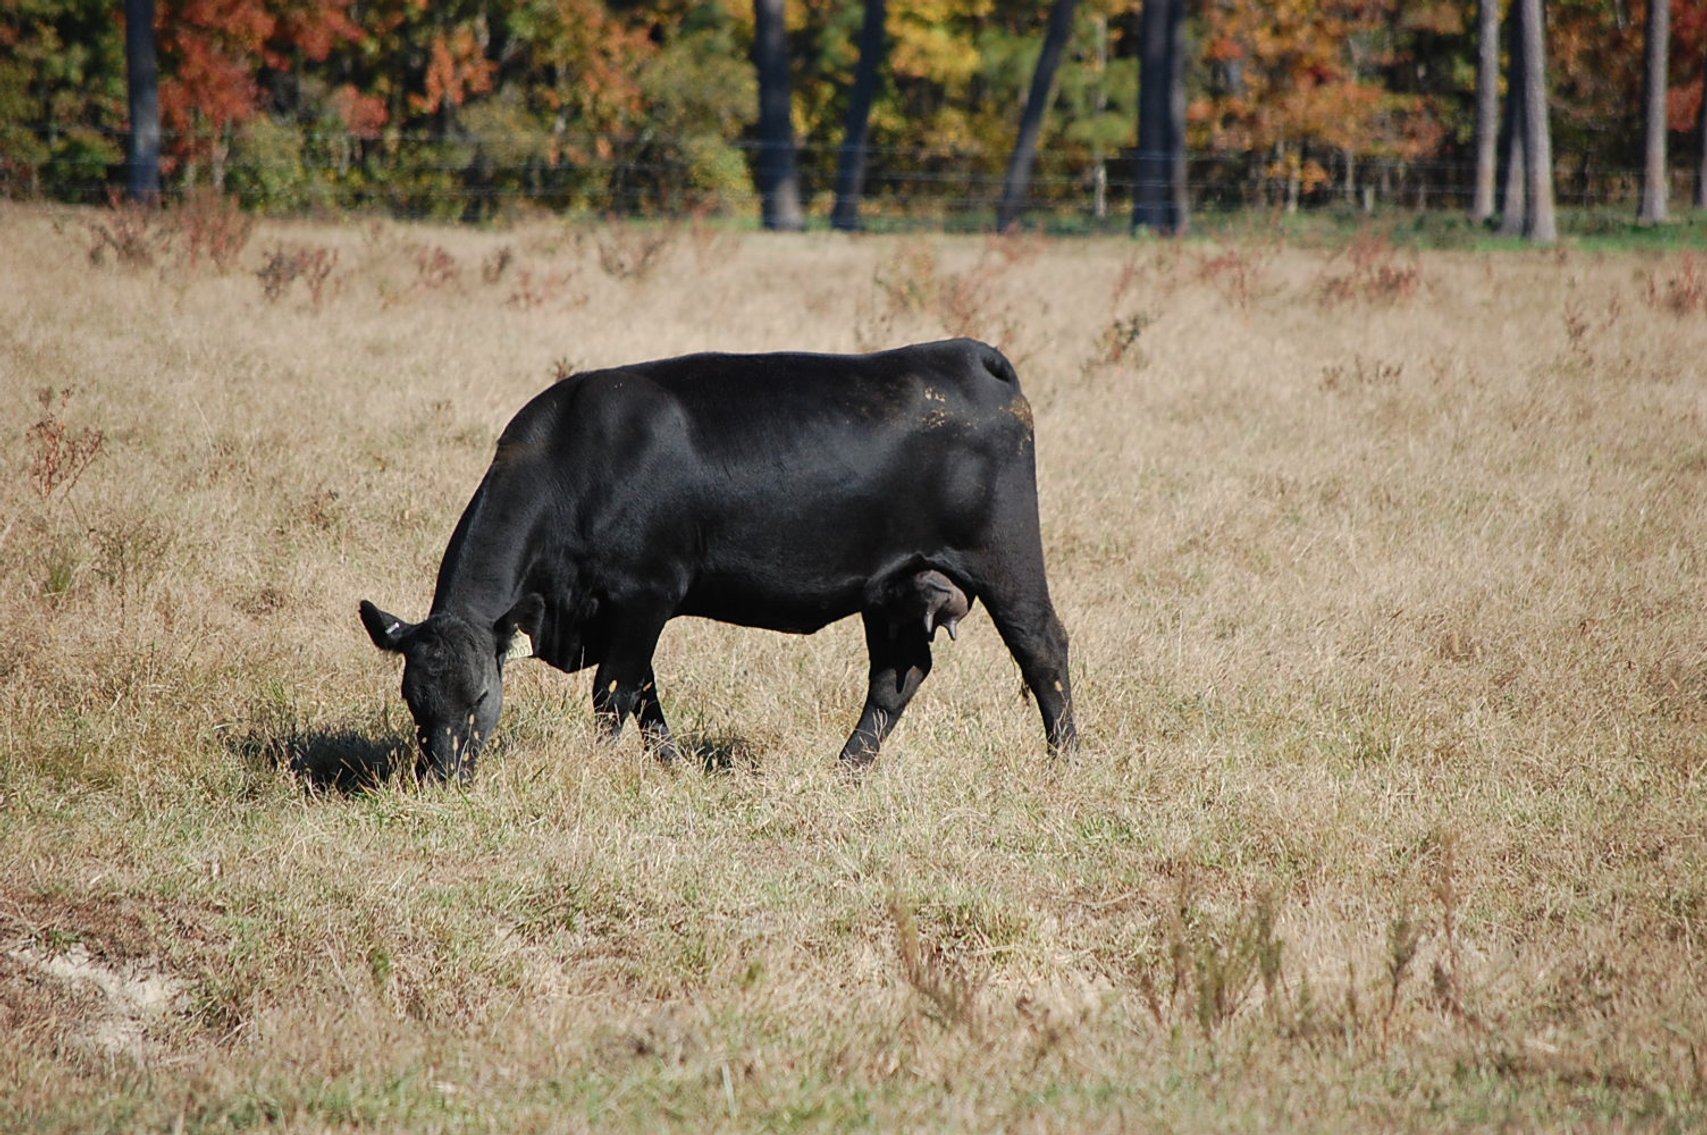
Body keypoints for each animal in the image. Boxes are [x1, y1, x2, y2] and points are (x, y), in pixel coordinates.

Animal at [359, 338, 1075, 780]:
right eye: (413, 699)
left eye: (481, 694)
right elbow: (646, 698)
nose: (443, 775)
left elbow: (614, 695)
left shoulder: (644, 594)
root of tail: (966, 353)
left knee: (1043, 650)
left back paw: (1063, 763)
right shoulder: (620, 615)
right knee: (896, 677)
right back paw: (844, 770)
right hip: (898, 587)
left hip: (1005, 559)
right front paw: (674, 768)